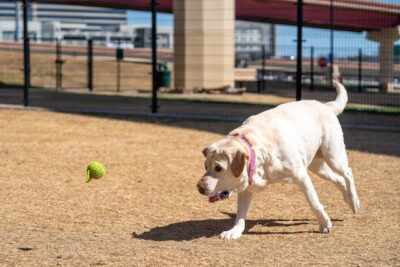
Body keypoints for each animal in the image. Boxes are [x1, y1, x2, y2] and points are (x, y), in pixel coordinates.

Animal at [198, 81, 360, 241]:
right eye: (205, 166)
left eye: (219, 168)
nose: (199, 187)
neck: (256, 148)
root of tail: (326, 105)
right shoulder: (246, 188)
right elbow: (240, 215)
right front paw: (234, 232)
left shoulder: (301, 176)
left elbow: (314, 202)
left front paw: (325, 224)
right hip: (318, 166)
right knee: (339, 180)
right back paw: (348, 200)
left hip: (333, 156)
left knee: (348, 173)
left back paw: (354, 201)